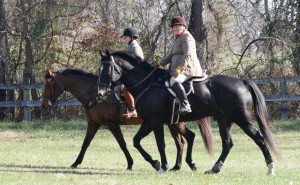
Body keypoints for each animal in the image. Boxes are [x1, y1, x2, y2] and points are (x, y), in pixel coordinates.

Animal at [41, 67, 213, 171]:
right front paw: (76, 163)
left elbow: (122, 144)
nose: (44, 105)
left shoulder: (111, 124)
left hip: (174, 123)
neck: (95, 95)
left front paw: (131, 163)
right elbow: (85, 143)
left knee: (184, 140)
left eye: (49, 85)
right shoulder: (94, 123)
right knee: (183, 141)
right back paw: (177, 166)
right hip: (172, 123)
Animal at [98, 50, 282, 175]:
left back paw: (270, 167)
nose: (100, 93)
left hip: (242, 119)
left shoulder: (156, 122)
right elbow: (136, 141)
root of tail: (242, 82)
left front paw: (162, 166)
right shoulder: (149, 122)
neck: (147, 83)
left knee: (258, 138)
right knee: (227, 144)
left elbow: (160, 144)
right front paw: (155, 163)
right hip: (224, 120)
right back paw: (214, 168)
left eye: (107, 69)